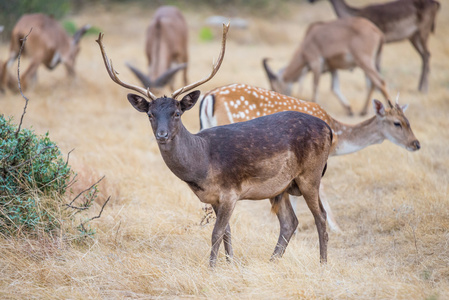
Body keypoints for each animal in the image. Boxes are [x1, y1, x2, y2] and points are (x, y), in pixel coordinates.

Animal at [95, 24, 332, 266]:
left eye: (177, 113)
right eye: (150, 114)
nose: (162, 135)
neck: (202, 165)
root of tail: (328, 128)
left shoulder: (230, 192)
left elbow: (216, 233)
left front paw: (211, 267)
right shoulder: (215, 198)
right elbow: (226, 231)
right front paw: (230, 263)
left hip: (310, 174)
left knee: (320, 216)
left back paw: (322, 263)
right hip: (281, 187)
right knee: (289, 222)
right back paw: (272, 261)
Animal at [200, 84, 420, 232]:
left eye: (408, 120)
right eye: (397, 123)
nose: (416, 144)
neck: (337, 136)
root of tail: (208, 97)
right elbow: (321, 188)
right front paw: (337, 228)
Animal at [310, 0, 440, 92]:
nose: (310, 1)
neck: (354, 13)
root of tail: (436, 4)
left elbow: (375, 68)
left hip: (423, 31)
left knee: (427, 54)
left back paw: (424, 89)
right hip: (413, 36)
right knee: (425, 55)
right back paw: (420, 87)